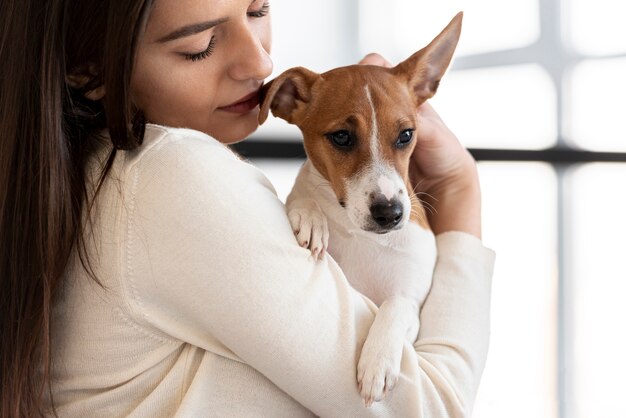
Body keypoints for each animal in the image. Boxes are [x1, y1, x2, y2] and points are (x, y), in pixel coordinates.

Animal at [256, 12, 460, 404]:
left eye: (406, 135)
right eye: (341, 137)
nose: (390, 213)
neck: (361, 237)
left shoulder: (414, 309)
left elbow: (396, 306)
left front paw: (377, 362)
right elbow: (303, 191)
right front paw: (310, 217)